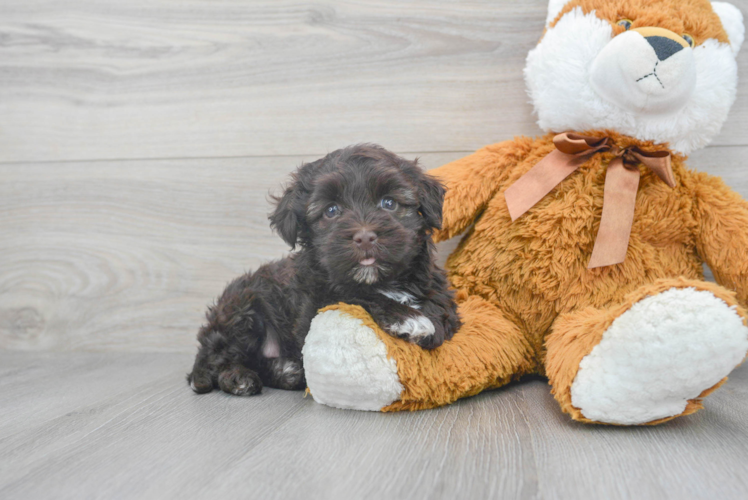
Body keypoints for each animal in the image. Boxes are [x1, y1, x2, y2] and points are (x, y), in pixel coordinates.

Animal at [187, 144, 462, 394]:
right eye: (331, 210)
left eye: (389, 203)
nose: (364, 237)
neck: (380, 281)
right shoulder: (315, 305)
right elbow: (354, 295)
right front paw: (408, 319)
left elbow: (443, 311)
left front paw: (432, 321)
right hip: (242, 310)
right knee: (215, 361)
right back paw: (239, 378)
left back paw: (286, 371)